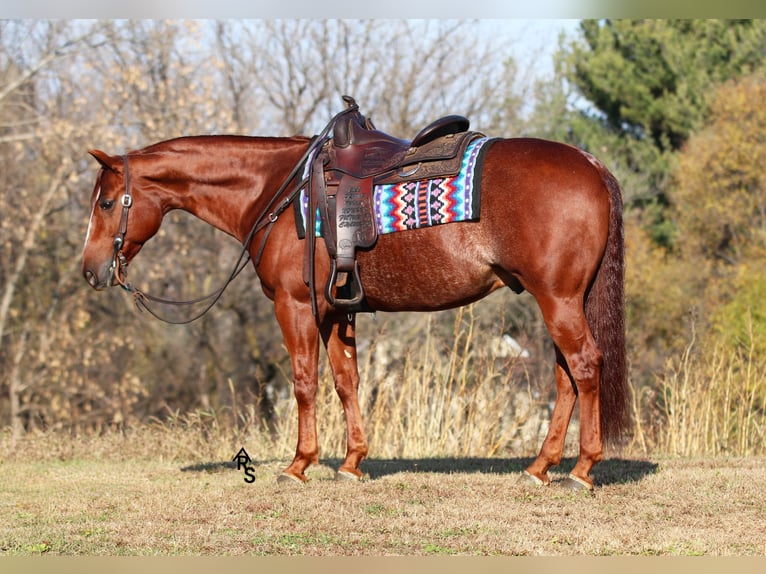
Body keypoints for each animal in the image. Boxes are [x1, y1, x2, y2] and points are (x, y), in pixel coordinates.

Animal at [81, 124, 628, 492]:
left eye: (106, 203)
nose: (90, 270)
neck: (278, 190)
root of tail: (591, 164)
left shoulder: (296, 306)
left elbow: (305, 382)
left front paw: (298, 465)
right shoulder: (336, 312)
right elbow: (347, 381)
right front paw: (351, 463)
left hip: (558, 300)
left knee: (584, 366)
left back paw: (582, 470)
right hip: (562, 300)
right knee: (565, 376)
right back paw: (541, 467)